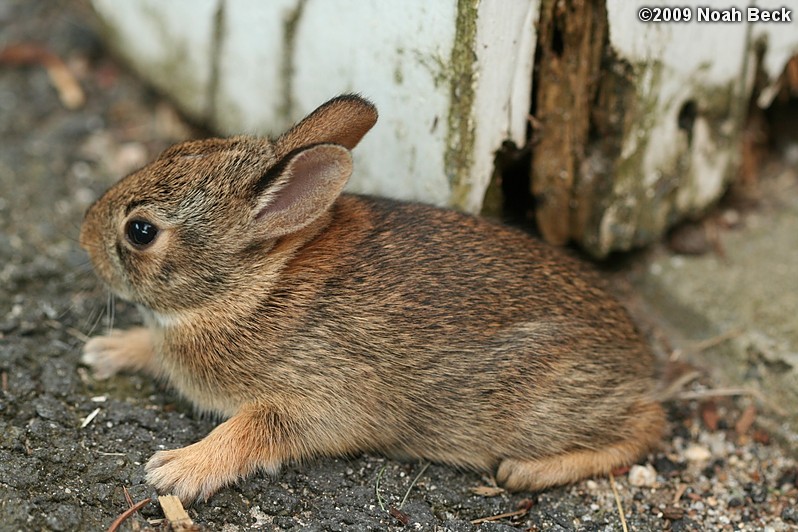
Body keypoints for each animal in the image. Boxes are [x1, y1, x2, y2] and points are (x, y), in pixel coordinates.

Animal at [83, 94, 668, 502]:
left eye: (140, 231)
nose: (85, 237)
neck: (253, 287)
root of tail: (639, 361)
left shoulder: (317, 396)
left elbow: (252, 431)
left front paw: (176, 470)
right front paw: (108, 351)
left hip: (541, 403)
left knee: (648, 423)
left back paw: (527, 471)